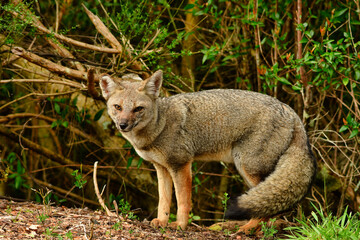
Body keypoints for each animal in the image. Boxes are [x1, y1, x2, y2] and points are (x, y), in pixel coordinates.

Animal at [98, 69, 316, 232]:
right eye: (118, 107)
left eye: (138, 109)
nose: (123, 125)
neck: (160, 125)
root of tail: (290, 110)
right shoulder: (161, 168)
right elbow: (164, 199)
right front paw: (162, 221)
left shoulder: (181, 165)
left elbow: (183, 200)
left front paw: (180, 225)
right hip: (248, 171)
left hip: (248, 167)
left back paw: (248, 228)